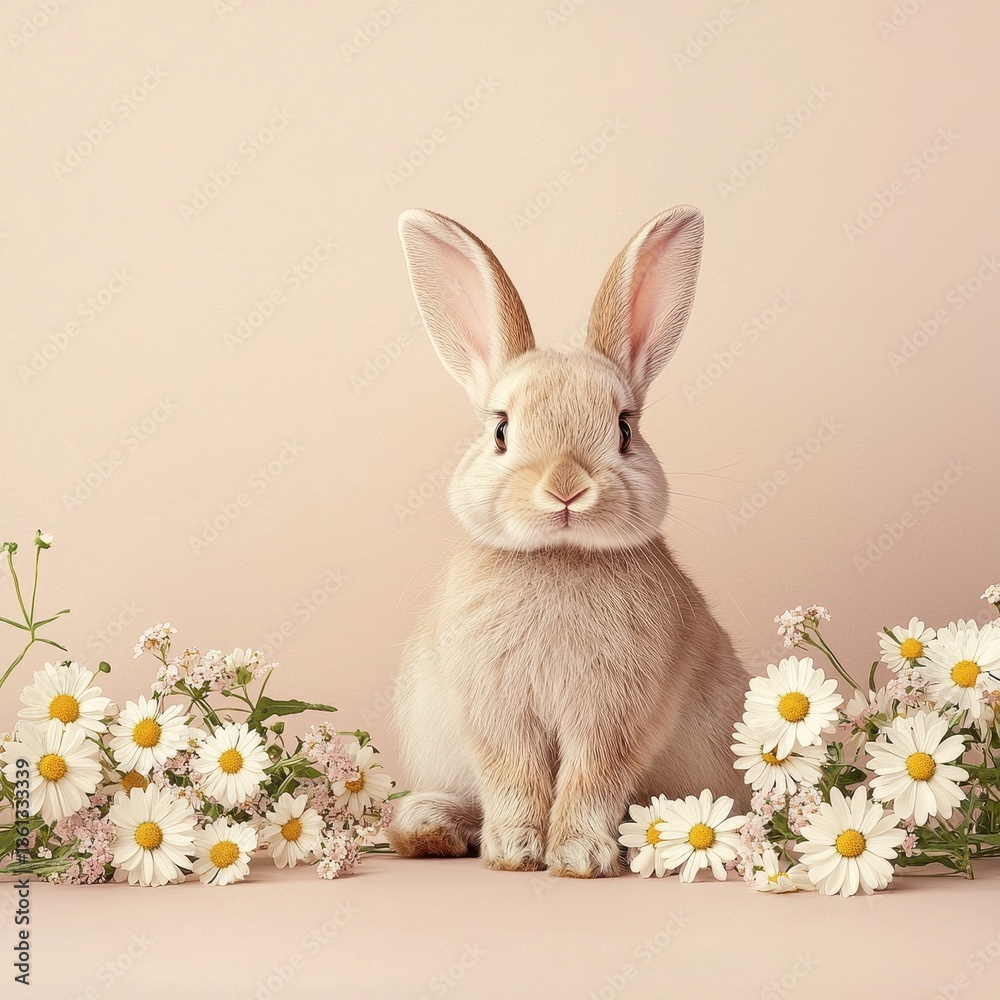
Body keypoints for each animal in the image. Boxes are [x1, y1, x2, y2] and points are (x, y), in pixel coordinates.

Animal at [384, 205, 750, 878]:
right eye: (501, 431)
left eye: (624, 430)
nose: (565, 488)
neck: (559, 557)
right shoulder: (500, 714)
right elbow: (514, 775)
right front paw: (515, 852)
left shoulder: (614, 713)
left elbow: (593, 776)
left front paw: (578, 856)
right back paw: (429, 828)